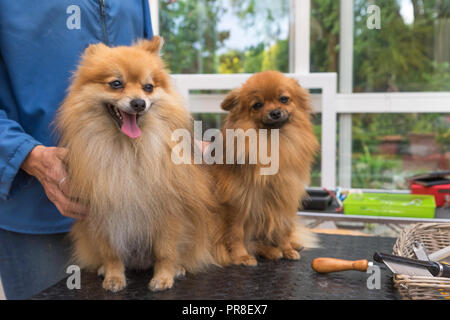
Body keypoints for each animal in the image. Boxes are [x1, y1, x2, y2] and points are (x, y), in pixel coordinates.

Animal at [55, 37, 229, 292]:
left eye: (148, 87)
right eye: (116, 84)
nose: (139, 103)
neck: (129, 150)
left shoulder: (168, 212)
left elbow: (165, 251)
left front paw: (164, 277)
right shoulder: (104, 215)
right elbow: (111, 253)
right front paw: (113, 276)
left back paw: (178, 268)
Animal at [212, 71, 320, 266]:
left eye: (284, 99)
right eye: (257, 105)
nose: (275, 112)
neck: (272, 141)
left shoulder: (283, 198)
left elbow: (282, 230)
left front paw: (287, 249)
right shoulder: (239, 202)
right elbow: (236, 234)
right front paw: (241, 256)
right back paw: (270, 251)